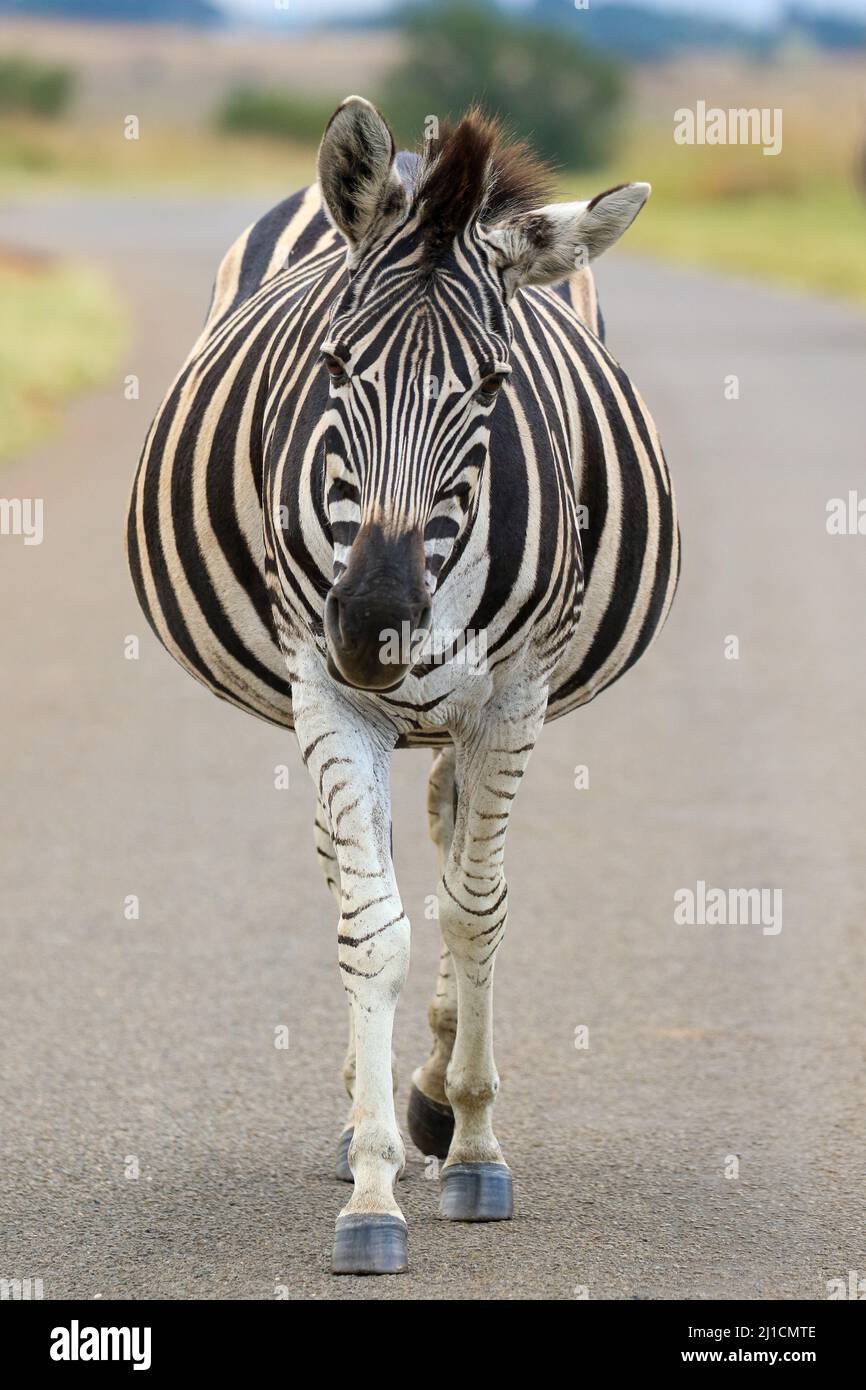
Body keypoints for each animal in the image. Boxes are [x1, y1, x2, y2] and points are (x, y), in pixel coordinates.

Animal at [127, 97, 679, 1276]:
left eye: (491, 388)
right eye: (334, 365)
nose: (373, 622)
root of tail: (418, 162)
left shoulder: (512, 693)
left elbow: (475, 911)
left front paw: (468, 1139)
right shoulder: (325, 687)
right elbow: (371, 931)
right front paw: (374, 1188)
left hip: (460, 714)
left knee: (450, 836)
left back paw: (432, 1091)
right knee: (356, 863)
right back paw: (364, 1113)